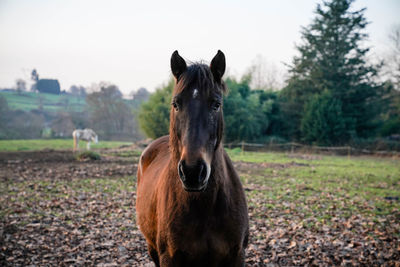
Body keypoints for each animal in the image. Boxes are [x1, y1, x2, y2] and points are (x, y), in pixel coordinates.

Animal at [138, 51, 250, 266]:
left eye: (216, 104)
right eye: (176, 104)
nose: (192, 172)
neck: (205, 207)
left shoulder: (236, 255)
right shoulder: (169, 258)